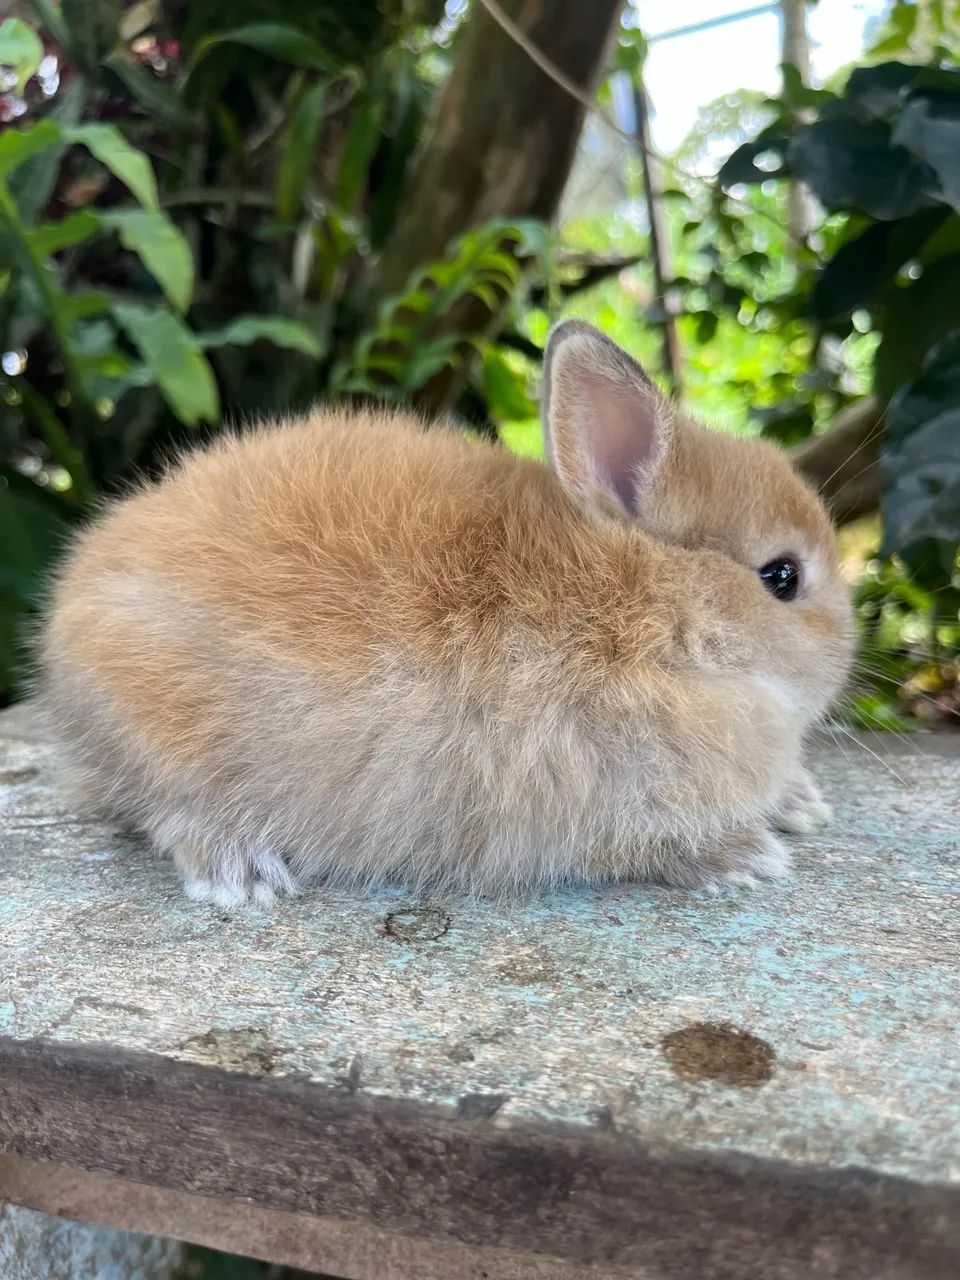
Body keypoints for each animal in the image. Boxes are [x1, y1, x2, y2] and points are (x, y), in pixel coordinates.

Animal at [40, 321, 855, 906]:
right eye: (782, 578)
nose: (848, 652)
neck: (642, 611)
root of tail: (69, 608)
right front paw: (746, 858)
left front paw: (801, 804)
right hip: (162, 734)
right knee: (166, 812)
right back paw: (239, 873)